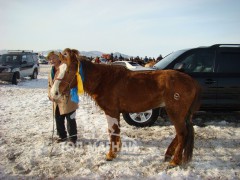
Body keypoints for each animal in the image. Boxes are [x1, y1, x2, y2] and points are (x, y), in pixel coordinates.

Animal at [50, 48, 201, 167]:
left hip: (175, 112)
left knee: (182, 133)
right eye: (57, 69)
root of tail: (191, 80)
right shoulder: (115, 112)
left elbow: (112, 131)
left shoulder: (111, 111)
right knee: (181, 133)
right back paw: (168, 154)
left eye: (69, 70)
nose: (54, 93)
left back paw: (174, 161)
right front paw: (116, 151)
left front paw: (111, 154)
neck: (104, 80)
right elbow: (115, 131)